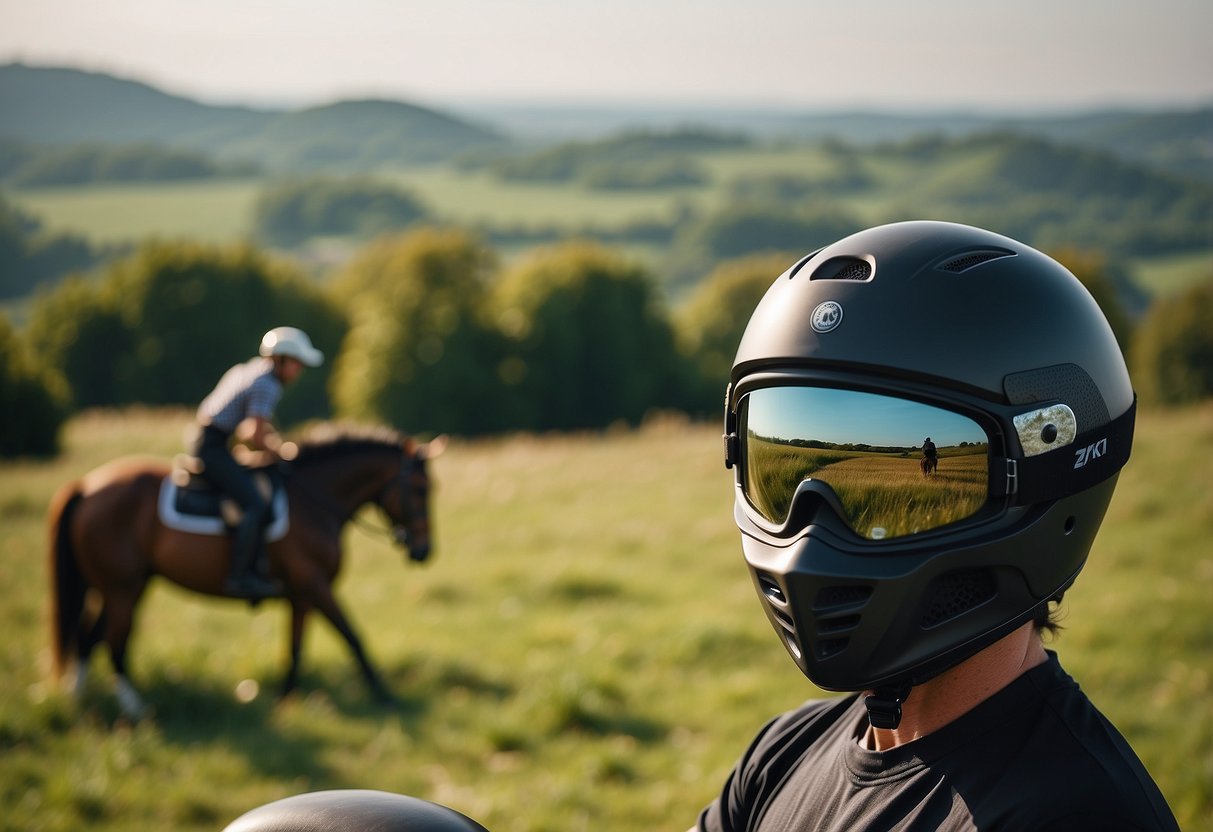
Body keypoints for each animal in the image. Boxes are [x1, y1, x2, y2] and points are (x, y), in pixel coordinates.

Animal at [48, 426, 446, 717]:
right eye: (420, 488)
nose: (425, 551)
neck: (314, 502)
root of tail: (86, 485)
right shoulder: (316, 586)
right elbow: (353, 637)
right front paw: (386, 696)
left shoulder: (301, 595)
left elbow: (295, 648)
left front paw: (286, 701)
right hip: (122, 588)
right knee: (113, 642)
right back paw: (134, 710)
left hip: (123, 586)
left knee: (88, 637)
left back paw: (77, 699)